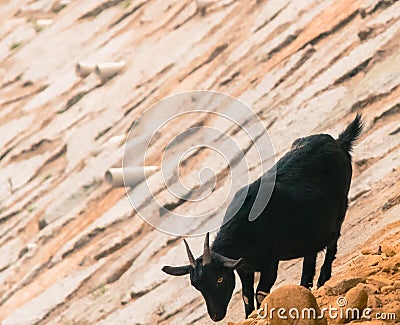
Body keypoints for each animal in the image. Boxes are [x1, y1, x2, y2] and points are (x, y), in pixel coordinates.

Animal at [162, 114, 362, 322]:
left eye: (219, 279)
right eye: (197, 286)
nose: (216, 315)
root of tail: (339, 142)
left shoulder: (269, 263)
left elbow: (260, 293)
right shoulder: (244, 269)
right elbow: (246, 296)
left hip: (340, 208)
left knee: (332, 242)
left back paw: (323, 278)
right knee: (311, 254)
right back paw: (305, 286)